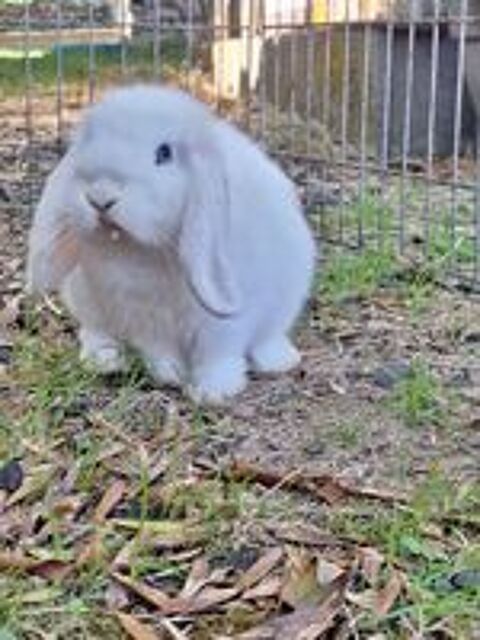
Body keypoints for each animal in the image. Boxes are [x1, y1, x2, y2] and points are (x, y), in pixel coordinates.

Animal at [26, 85, 316, 404]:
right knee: (95, 332)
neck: (141, 250)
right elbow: (158, 349)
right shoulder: (145, 319)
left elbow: (217, 357)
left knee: (267, 336)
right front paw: (170, 375)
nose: (100, 198)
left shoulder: (222, 327)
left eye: (164, 153)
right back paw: (105, 361)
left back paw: (278, 361)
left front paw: (212, 391)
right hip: (87, 302)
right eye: (89, 141)